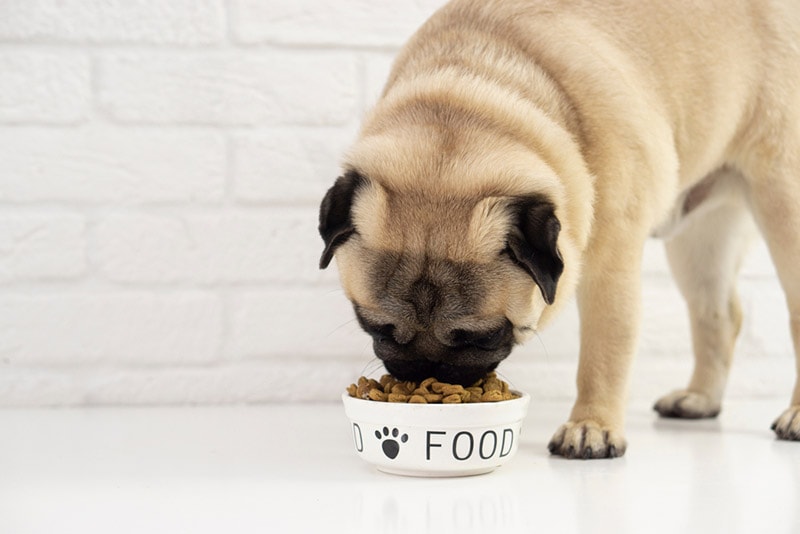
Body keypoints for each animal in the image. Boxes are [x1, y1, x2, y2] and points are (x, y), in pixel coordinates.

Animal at [318, 1, 800, 460]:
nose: (427, 373)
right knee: (717, 315)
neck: (477, 87)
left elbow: (603, 354)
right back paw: (700, 399)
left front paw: (591, 427)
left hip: (781, 198)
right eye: (377, 329)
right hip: (698, 237)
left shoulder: (610, 269)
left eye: (480, 337)